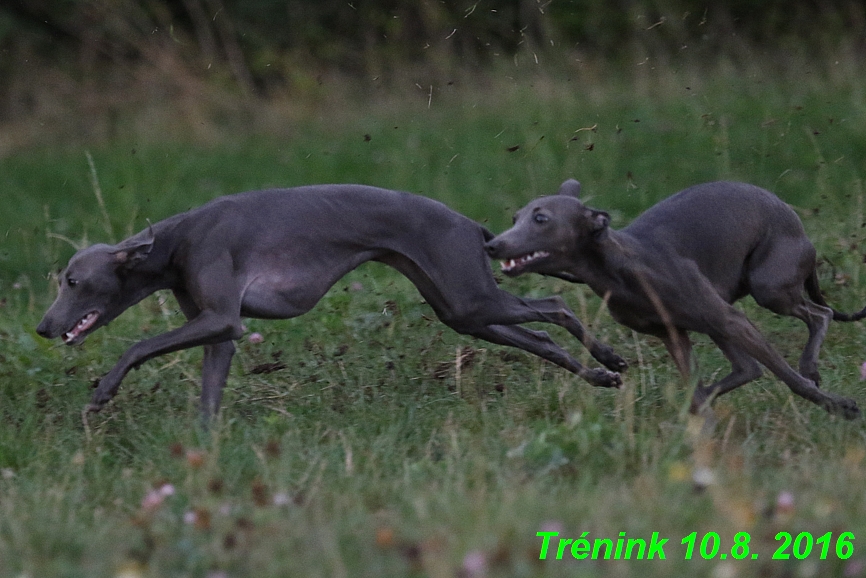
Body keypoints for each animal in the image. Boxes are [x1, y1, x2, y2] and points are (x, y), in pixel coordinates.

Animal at [38, 183, 620, 414]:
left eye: (74, 281)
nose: (42, 328)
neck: (178, 240)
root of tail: (471, 226)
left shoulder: (221, 318)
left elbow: (136, 347)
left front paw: (102, 392)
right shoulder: (219, 334)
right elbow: (208, 395)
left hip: (473, 297)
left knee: (557, 307)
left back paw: (610, 357)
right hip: (462, 310)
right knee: (541, 335)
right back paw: (599, 375)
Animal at [486, 178, 864, 416]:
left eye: (540, 218)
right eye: (515, 217)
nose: (492, 245)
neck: (621, 267)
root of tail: (787, 210)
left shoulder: (730, 319)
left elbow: (788, 377)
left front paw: (838, 406)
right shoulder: (673, 334)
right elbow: (697, 390)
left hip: (767, 288)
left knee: (820, 315)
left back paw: (810, 365)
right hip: (723, 311)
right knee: (748, 368)